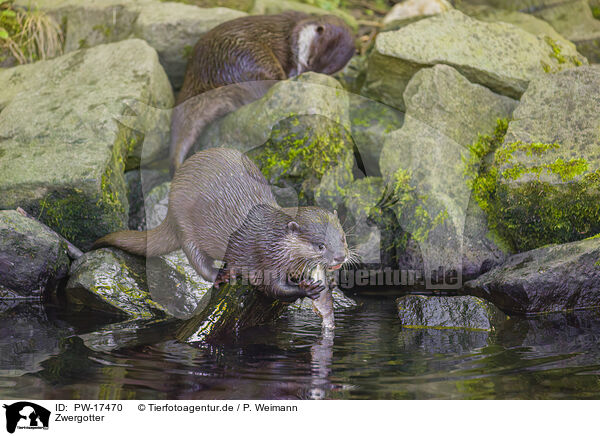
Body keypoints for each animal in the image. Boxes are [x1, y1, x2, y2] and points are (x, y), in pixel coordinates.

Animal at [169, 11, 356, 172]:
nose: (300, 74)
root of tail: (206, 75)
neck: (297, 27)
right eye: (309, 60)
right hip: (248, 54)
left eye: (322, 72)